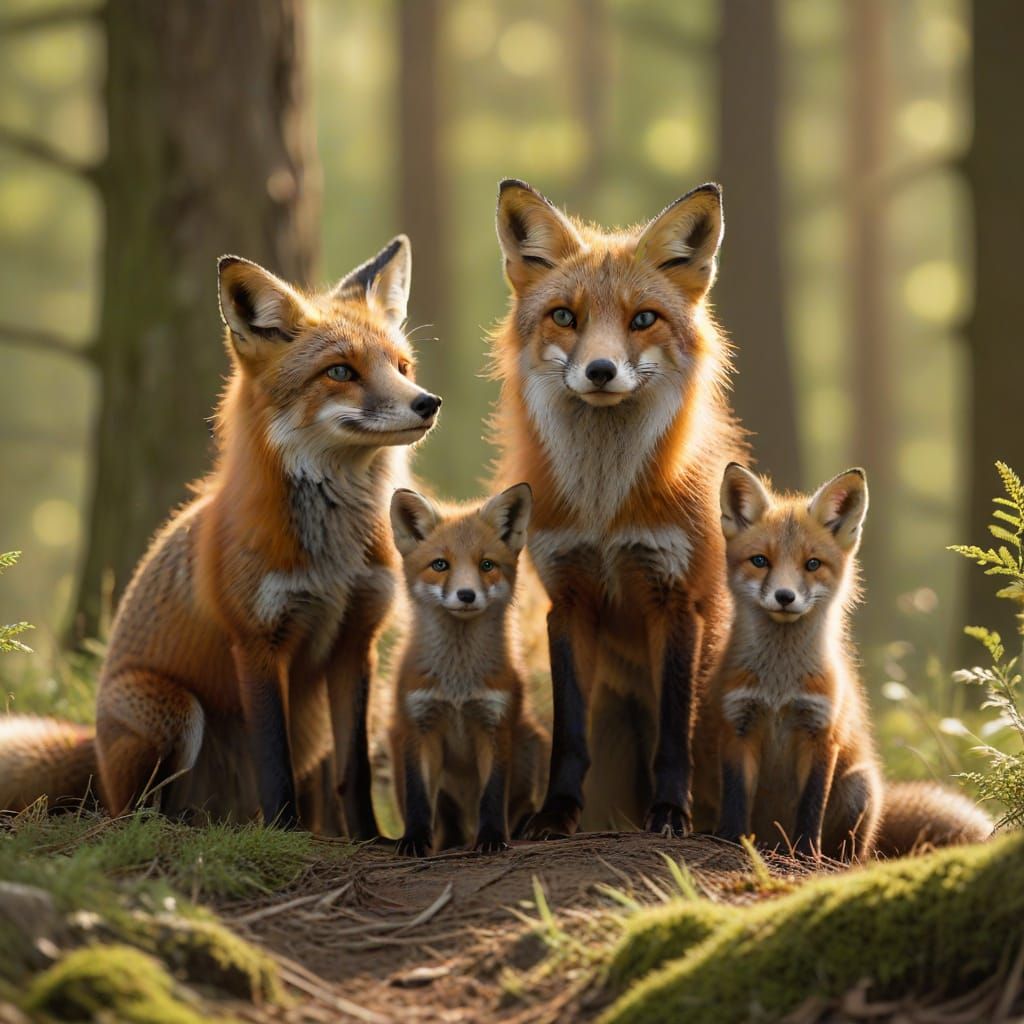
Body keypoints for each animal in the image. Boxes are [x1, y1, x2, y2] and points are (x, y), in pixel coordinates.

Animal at [0, 237, 441, 834]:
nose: (427, 402)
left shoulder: (356, 640)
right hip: (170, 711)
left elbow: (355, 771)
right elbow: (274, 761)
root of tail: (94, 750)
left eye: (402, 366)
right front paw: (285, 834)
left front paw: (369, 838)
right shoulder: (256, 641)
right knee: (132, 813)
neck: (334, 557)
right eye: (340, 371)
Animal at [388, 484, 549, 855]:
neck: (457, 686)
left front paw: (491, 838)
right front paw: (415, 840)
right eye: (440, 565)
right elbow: (419, 798)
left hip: (531, 743)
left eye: (486, 565)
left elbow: (492, 794)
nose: (466, 594)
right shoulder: (419, 726)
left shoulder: (494, 724)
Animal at [490, 179, 746, 838]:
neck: (605, 508)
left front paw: (670, 812)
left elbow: (673, 732)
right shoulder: (568, 598)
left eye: (643, 319)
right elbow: (569, 732)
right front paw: (555, 812)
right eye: (564, 316)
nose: (600, 370)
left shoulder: (676, 599)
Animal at [698, 464, 993, 859]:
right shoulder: (737, 725)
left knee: (856, 852)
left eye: (812, 564)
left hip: (860, 787)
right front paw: (731, 840)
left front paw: (806, 855)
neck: (779, 687)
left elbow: (812, 805)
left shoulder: (822, 732)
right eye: (760, 561)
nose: (785, 596)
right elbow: (735, 799)